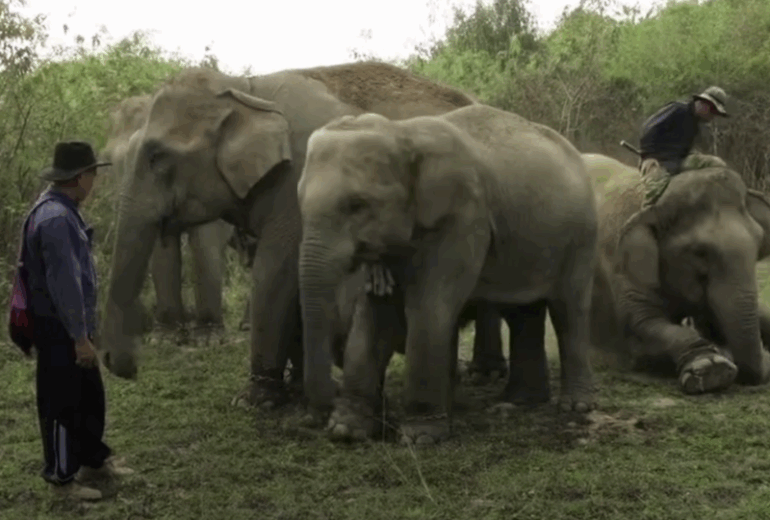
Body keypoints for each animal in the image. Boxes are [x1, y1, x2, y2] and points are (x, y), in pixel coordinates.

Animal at [296, 104, 599, 444]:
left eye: (357, 205)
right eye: (299, 200)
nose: (315, 417)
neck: (402, 132)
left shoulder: (464, 217)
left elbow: (429, 306)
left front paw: (421, 437)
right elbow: (374, 314)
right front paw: (347, 430)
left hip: (581, 235)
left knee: (569, 309)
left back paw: (575, 406)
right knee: (522, 312)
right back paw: (520, 402)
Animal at [582, 152, 770, 394]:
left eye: (759, 243)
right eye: (699, 252)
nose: (766, 355)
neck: (656, 201)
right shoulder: (620, 262)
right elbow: (641, 323)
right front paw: (712, 368)